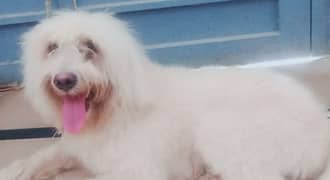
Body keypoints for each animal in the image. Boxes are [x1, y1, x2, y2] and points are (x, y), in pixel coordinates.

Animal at [0, 11, 330, 180]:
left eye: (90, 47)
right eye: (51, 48)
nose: (64, 80)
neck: (113, 112)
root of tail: (320, 123)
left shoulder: (137, 171)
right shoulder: (76, 146)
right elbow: (44, 155)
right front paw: (15, 170)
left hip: (220, 131)